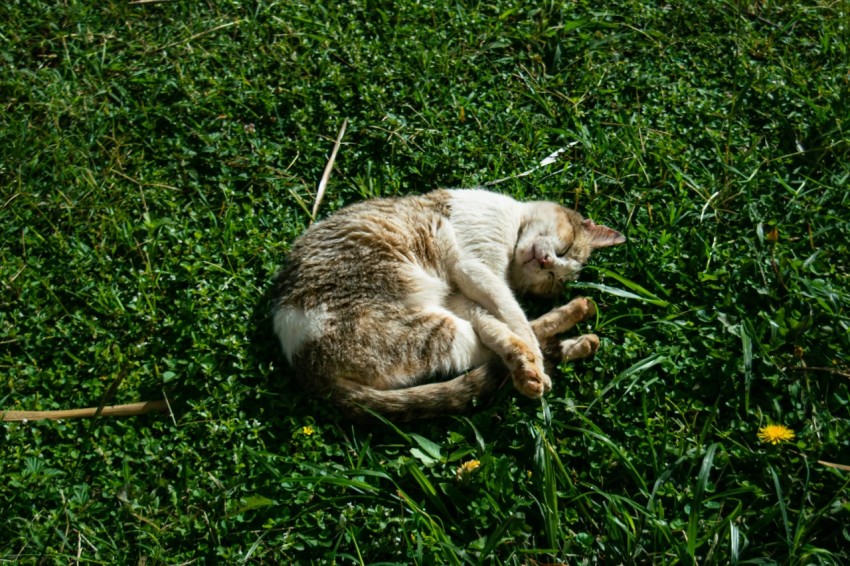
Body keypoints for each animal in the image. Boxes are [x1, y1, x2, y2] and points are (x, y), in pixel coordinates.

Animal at [272, 190, 624, 422]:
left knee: (491, 345)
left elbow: (501, 319)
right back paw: (553, 348)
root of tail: (305, 367)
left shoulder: (460, 292)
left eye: (551, 277)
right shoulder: (474, 269)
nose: (546, 261)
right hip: (432, 330)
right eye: (563, 251)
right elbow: (513, 314)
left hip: (435, 324)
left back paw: (577, 330)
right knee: (493, 348)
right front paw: (532, 356)